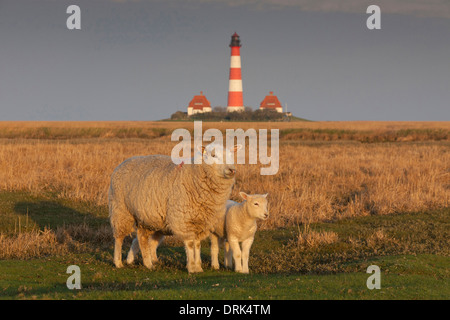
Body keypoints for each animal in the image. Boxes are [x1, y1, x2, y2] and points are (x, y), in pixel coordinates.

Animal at [108, 144, 243, 274]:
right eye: (213, 155)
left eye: (231, 155)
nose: (232, 170)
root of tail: (124, 162)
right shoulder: (184, 220)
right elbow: (190, 244)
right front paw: (192, 267)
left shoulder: (201, 222)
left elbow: (197, 245)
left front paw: (198, 266)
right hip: (121, 210)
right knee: (119, 238)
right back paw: (118, 262)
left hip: (146, 217)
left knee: (142, 237)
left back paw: (148, 263)